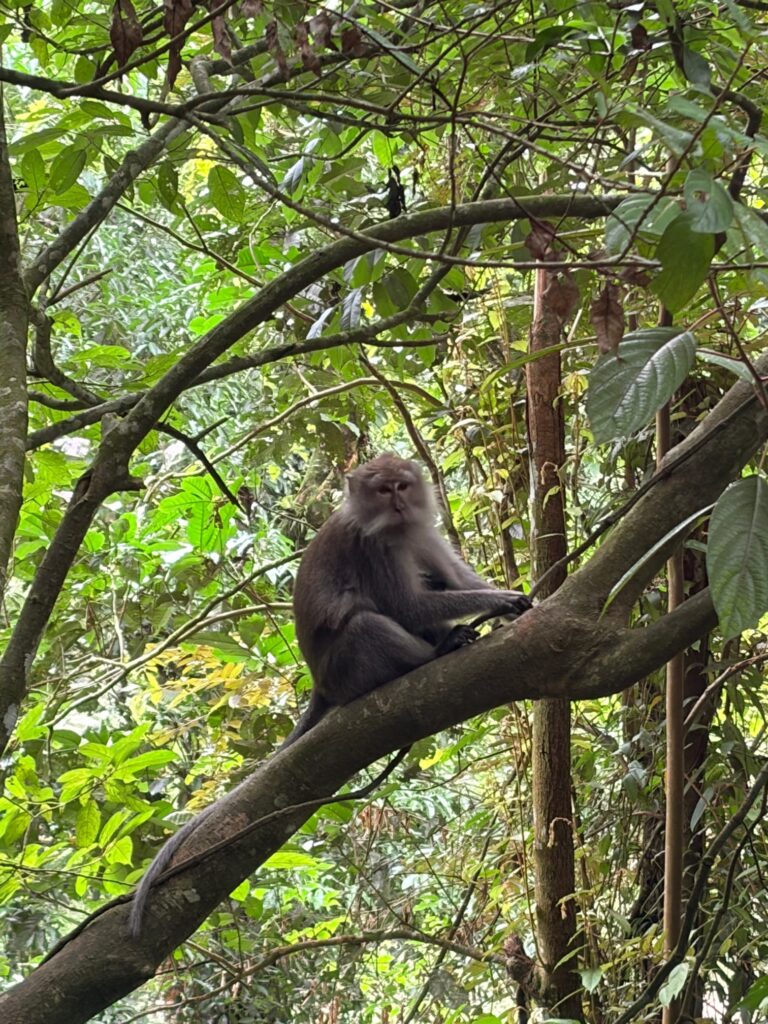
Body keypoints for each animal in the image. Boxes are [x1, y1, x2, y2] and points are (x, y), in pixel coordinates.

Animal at [128, 454, 530, 937]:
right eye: (382, 490)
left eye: (401, 485)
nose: (398, 502)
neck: (394, 529)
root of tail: (321, 683)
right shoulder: (373, 549)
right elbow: (406, 606)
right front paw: (500, 600)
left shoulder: (418, 532)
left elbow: (452, 578)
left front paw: (506, 596)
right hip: (348, 669)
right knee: (365, 623)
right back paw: (434, 653)